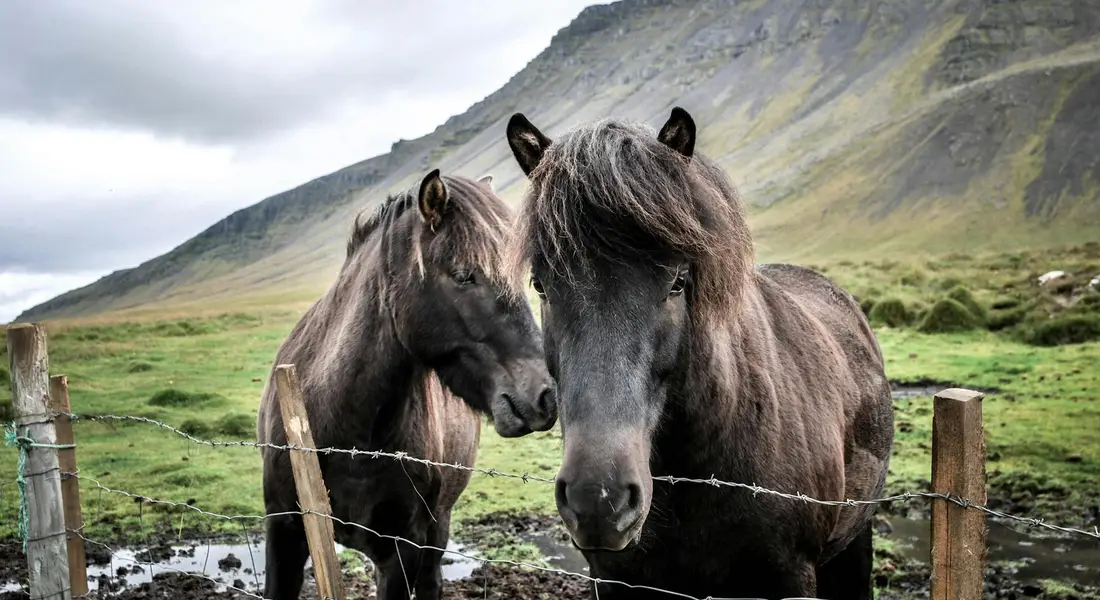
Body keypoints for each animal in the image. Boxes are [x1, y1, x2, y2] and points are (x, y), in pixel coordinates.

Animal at [256, 169, 558, 600]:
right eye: (464, 275)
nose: (544, 397)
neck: (348, 432)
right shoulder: (283, 531)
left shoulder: (402, 549)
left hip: (438, 527)